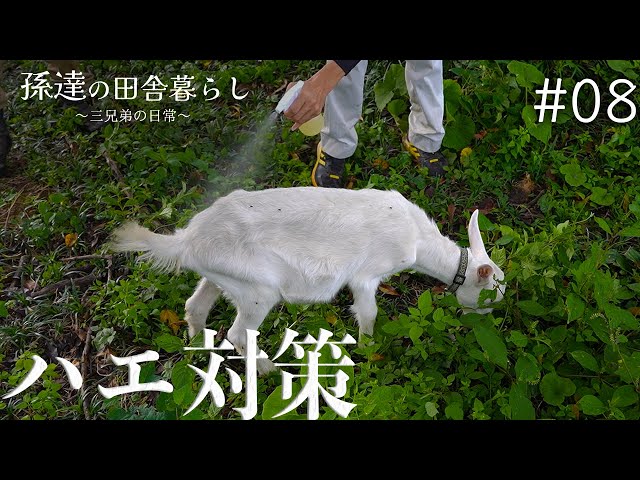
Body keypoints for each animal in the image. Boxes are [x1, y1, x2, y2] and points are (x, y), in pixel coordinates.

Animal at [109, 187, 505, 374]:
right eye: (489, 297)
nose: (486, 325)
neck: (419, 242)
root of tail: (187, 240)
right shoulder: (366, 275)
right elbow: (369, 313)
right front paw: (368, 351)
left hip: (222, 277)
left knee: (195, 306)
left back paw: (197, 350)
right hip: (257, 290)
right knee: (238, 333)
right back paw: (269, 371)